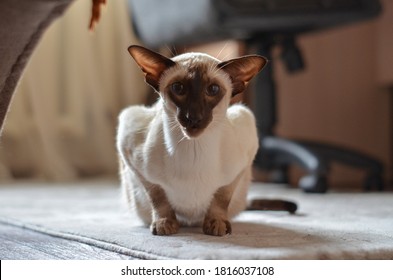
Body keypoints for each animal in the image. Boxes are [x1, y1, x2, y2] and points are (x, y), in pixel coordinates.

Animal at [118, 45, 296, 236]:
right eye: (178, 88)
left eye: (213, 90)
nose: (194, 118)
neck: (194, 150)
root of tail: (190, 223)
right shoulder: (132, 154)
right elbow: (158, 198)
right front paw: (165, 223)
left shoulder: (243, 161)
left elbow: (221, 198)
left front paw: (216, 224)